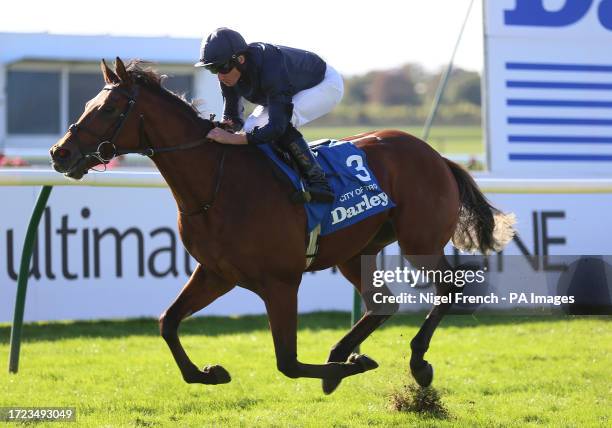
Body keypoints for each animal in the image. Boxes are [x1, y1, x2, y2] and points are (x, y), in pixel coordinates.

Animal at [50, 57, 512, 394]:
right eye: (88, 104)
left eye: (109, 108)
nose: (60, 153)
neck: (217, 184)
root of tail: (435, 155)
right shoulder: (216, 273)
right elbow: (167, 322)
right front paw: (209, 373)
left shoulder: (281, 282)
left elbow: (287, 363)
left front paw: (346, 369)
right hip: (355, 251)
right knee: (382, 304)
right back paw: (344, 353)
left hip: (420, 241)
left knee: (448, 291)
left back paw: (414, 362)